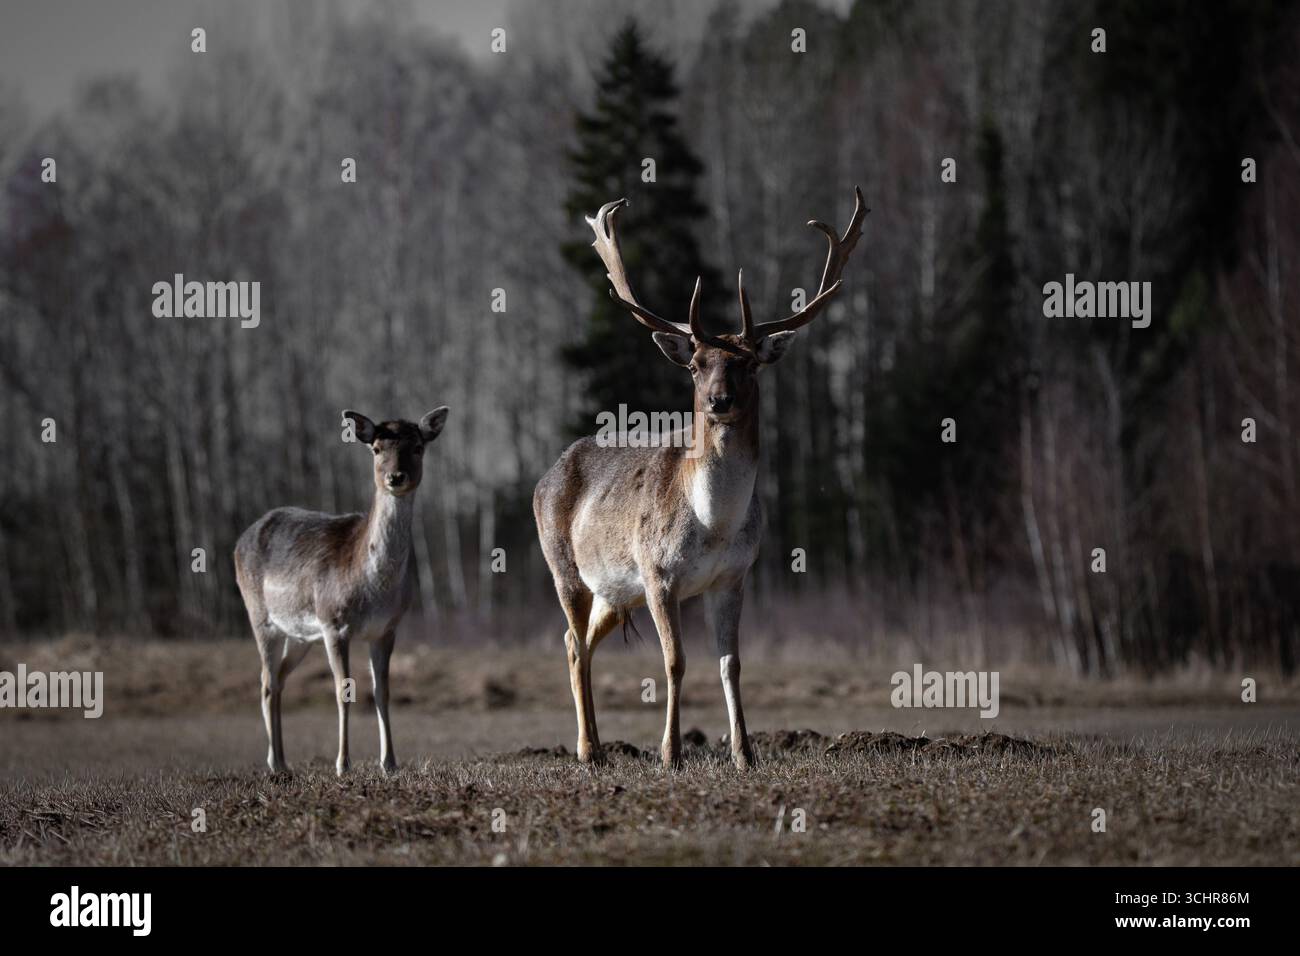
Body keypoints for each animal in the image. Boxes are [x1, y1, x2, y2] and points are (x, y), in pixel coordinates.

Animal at [233, 407, 450, 776]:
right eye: (376, 448)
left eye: (418, 446)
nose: (396, 477)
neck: (373, 587)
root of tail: (240, 540)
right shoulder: (333, 623)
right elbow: (342, 690)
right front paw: (343, 764)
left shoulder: (386, 629)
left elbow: (382, 691)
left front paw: (390, 763)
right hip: (261, 617)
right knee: (266, 680)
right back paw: (274, 763)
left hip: (301, 636)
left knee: (279, 677)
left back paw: (284, 762)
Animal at [534, 188, 866, 770]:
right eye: (694, 364)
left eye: (750, 363)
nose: (719, 401)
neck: (713, 523)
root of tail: (543, 478)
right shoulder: (657, 573)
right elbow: (675, 661)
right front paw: (671, 753)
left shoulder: (733, 576)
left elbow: (731, 664)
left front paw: (745, 753)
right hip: (565, 567)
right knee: (573, 643)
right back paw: (588, 750)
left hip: (614, 592)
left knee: (583, 642)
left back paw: (597, 747)